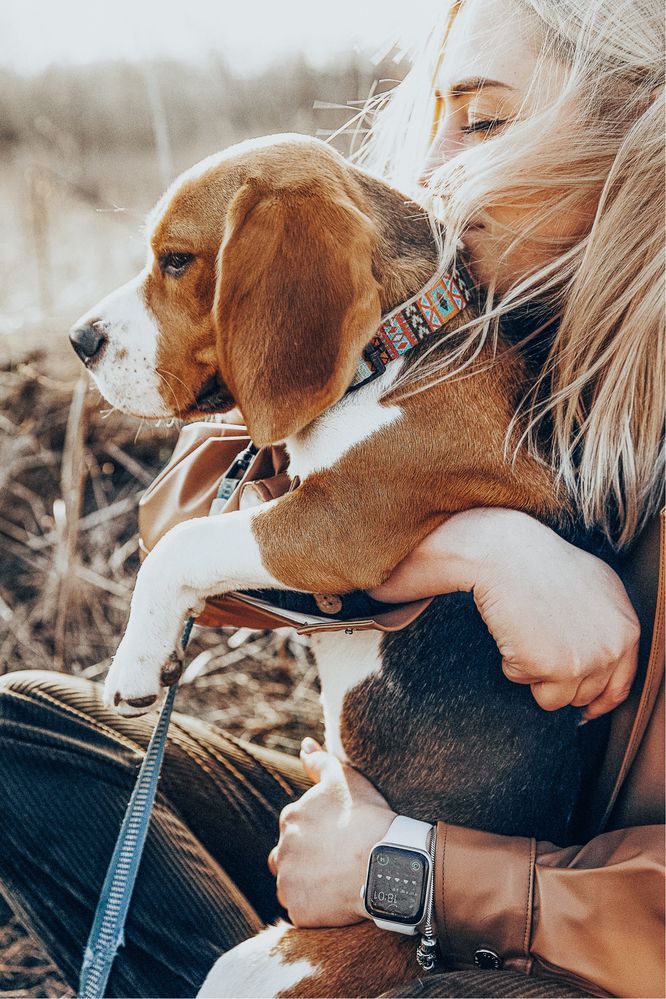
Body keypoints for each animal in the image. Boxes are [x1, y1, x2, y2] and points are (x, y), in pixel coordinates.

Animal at [70, 135, 604, 999]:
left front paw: (135, 665)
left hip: (253, 967)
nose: (79, 341)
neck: (401, 344)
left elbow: (186, 545)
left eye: (177, 260)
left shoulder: (336, 523)